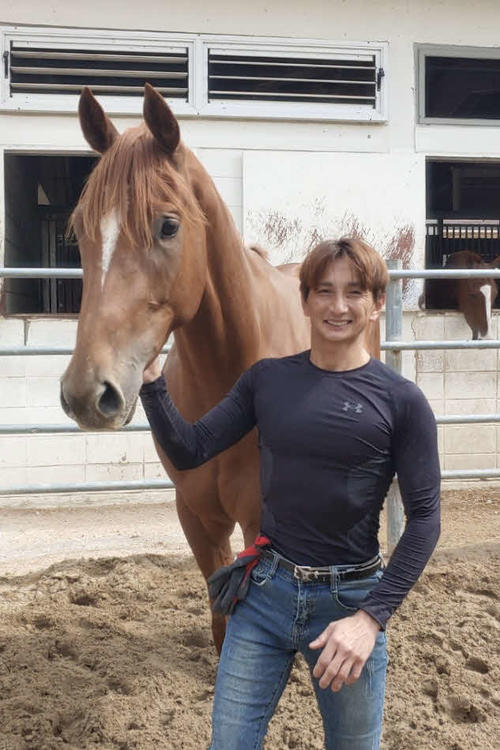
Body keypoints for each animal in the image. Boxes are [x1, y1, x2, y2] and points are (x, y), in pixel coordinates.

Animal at [60, 84, 381, 651]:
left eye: (168, 225)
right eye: (80, 230)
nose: (86, 393)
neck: (227, 377)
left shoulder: (259, 524)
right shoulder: (197, 518)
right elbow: (221, 621)